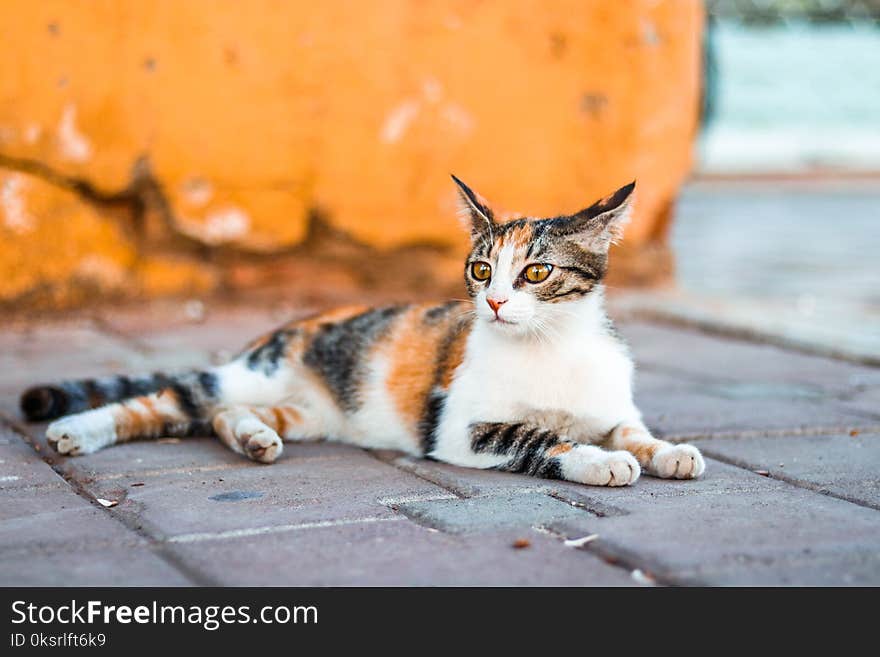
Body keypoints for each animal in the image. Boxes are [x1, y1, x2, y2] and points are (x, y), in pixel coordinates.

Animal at [18, 177, 708, 484]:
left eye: (536, 271)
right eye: (482, 268)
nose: (493, 302)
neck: (550, 348)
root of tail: (290, 326)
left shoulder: (611, 404)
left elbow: (633, 430)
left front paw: (667, 451)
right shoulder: (458, 428)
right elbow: (537, 437)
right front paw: (600, 460)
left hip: (310, 412)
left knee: (221, 416)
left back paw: (253, 438)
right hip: (248, 375)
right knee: (172, 399)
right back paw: (75, 430)